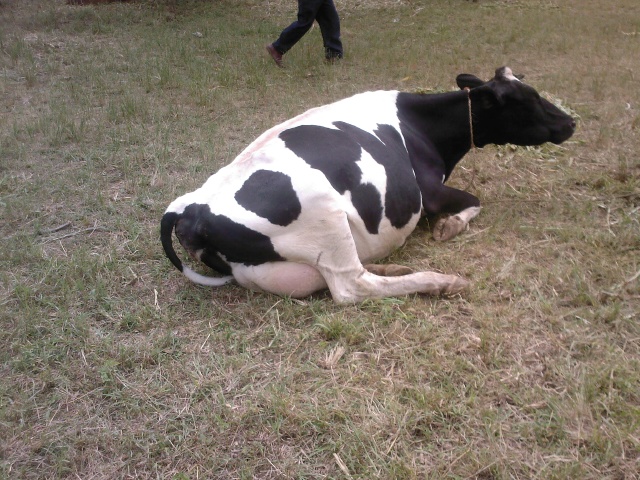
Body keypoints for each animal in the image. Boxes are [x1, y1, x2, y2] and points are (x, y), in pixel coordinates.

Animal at [160, 66, 576, 304]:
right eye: (528, 100)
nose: (571, 122)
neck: (422, 124)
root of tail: (190, 208)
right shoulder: (430, 193)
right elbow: (474, 201)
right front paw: (450, 227)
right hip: (325, 211)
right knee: (352, 287)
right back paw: (440, 281)